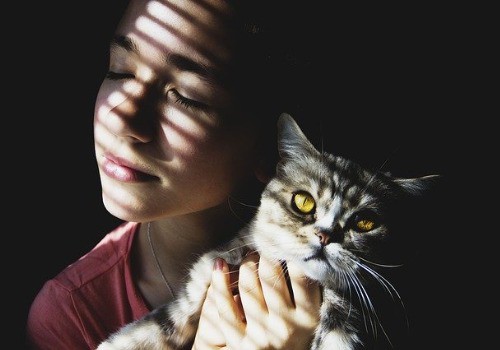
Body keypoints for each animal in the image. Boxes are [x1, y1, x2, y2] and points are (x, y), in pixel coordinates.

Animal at [96, 113, 438, 348]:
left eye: (365, 223)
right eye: (303, 201)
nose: (325, 236)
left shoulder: (349, 316)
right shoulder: (209, 268)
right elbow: (162, 321)